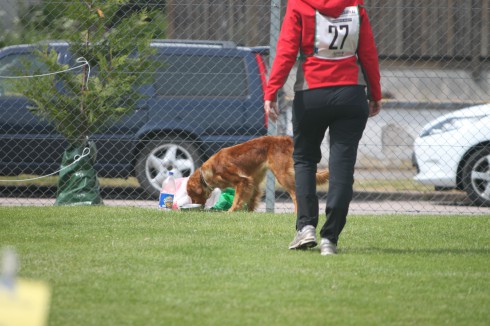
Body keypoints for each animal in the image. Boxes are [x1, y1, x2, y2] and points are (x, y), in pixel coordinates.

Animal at [187, 135, 330, 211]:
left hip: (282, 175)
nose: (196, 206)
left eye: (192, 194)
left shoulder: (242, 181)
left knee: (295, 194)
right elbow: (251, 200)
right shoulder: (253, 182)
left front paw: (230, 211)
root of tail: (286, 139)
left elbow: (237, 199)